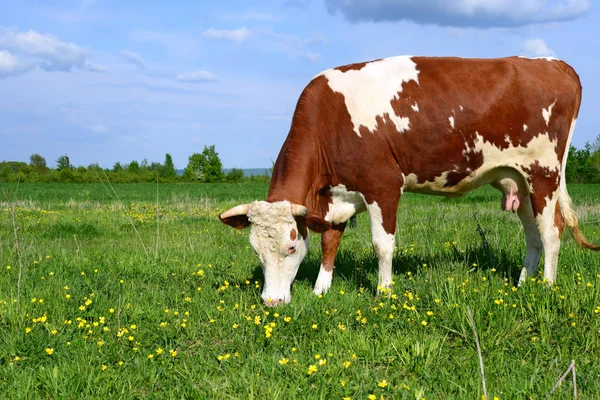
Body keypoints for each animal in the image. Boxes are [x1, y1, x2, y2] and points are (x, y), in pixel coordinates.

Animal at [220, 55, 600, 306]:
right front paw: (320, 290)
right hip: (518, 180)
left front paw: (383, 292)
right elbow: (330, 240)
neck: (331, 120)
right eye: (255, 250)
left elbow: (382, 245)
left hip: (544, 172)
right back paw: (522, 285)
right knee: (533, 234)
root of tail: (552, 62)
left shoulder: (383, 185)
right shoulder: (336, 194)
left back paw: (546, 287)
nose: (271, 302)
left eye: (290, 247)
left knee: (551, 231)